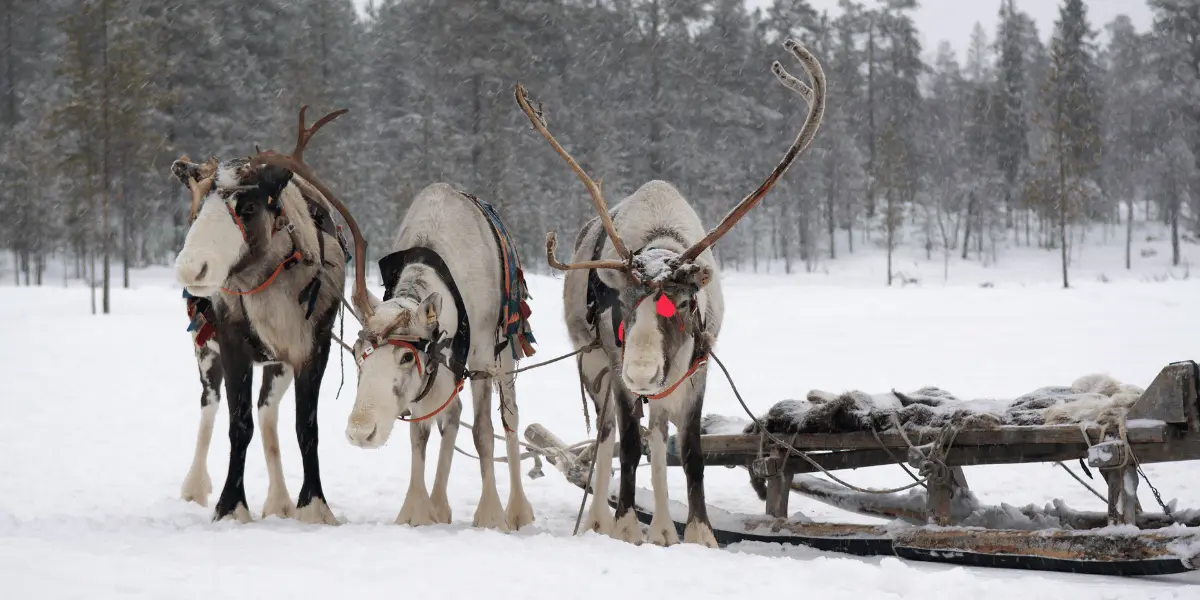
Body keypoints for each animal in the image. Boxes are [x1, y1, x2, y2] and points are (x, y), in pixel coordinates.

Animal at [171, 106, 372, 525]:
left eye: (247, 207)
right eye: (196, 210)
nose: (191, 269)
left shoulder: (313, 348)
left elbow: (305, 427)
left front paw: (313, 505)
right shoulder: (233, 345)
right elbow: (238, 425)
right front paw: (231, 506)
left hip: (277, 364)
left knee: (267, 413)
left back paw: (279, 500)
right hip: (205, 349)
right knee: (209, 404)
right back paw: (195, 486)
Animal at [342, 181, 539, 532]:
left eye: (406, 357)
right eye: (356, 352)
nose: (360, 431)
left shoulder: (481, 360)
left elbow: (483, 432)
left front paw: (491, 515)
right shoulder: (432, 375)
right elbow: (419, 434)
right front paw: (417, 510)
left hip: (504, 355)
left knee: (510, 420)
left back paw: (518, 509)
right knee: (453, 414)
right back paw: (439, 504)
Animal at [513, 38, 825, 547]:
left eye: (680, 303)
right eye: (621, 302)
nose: (642, 372)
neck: (660, 245)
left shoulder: (697, 368)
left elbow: (691, 451)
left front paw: (699, 532)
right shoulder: (617, 364)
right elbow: (628, 445)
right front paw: (624, 526)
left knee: (659, 433)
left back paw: (662, 528)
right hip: (594, 363)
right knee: (606, 435)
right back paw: (599, 521)